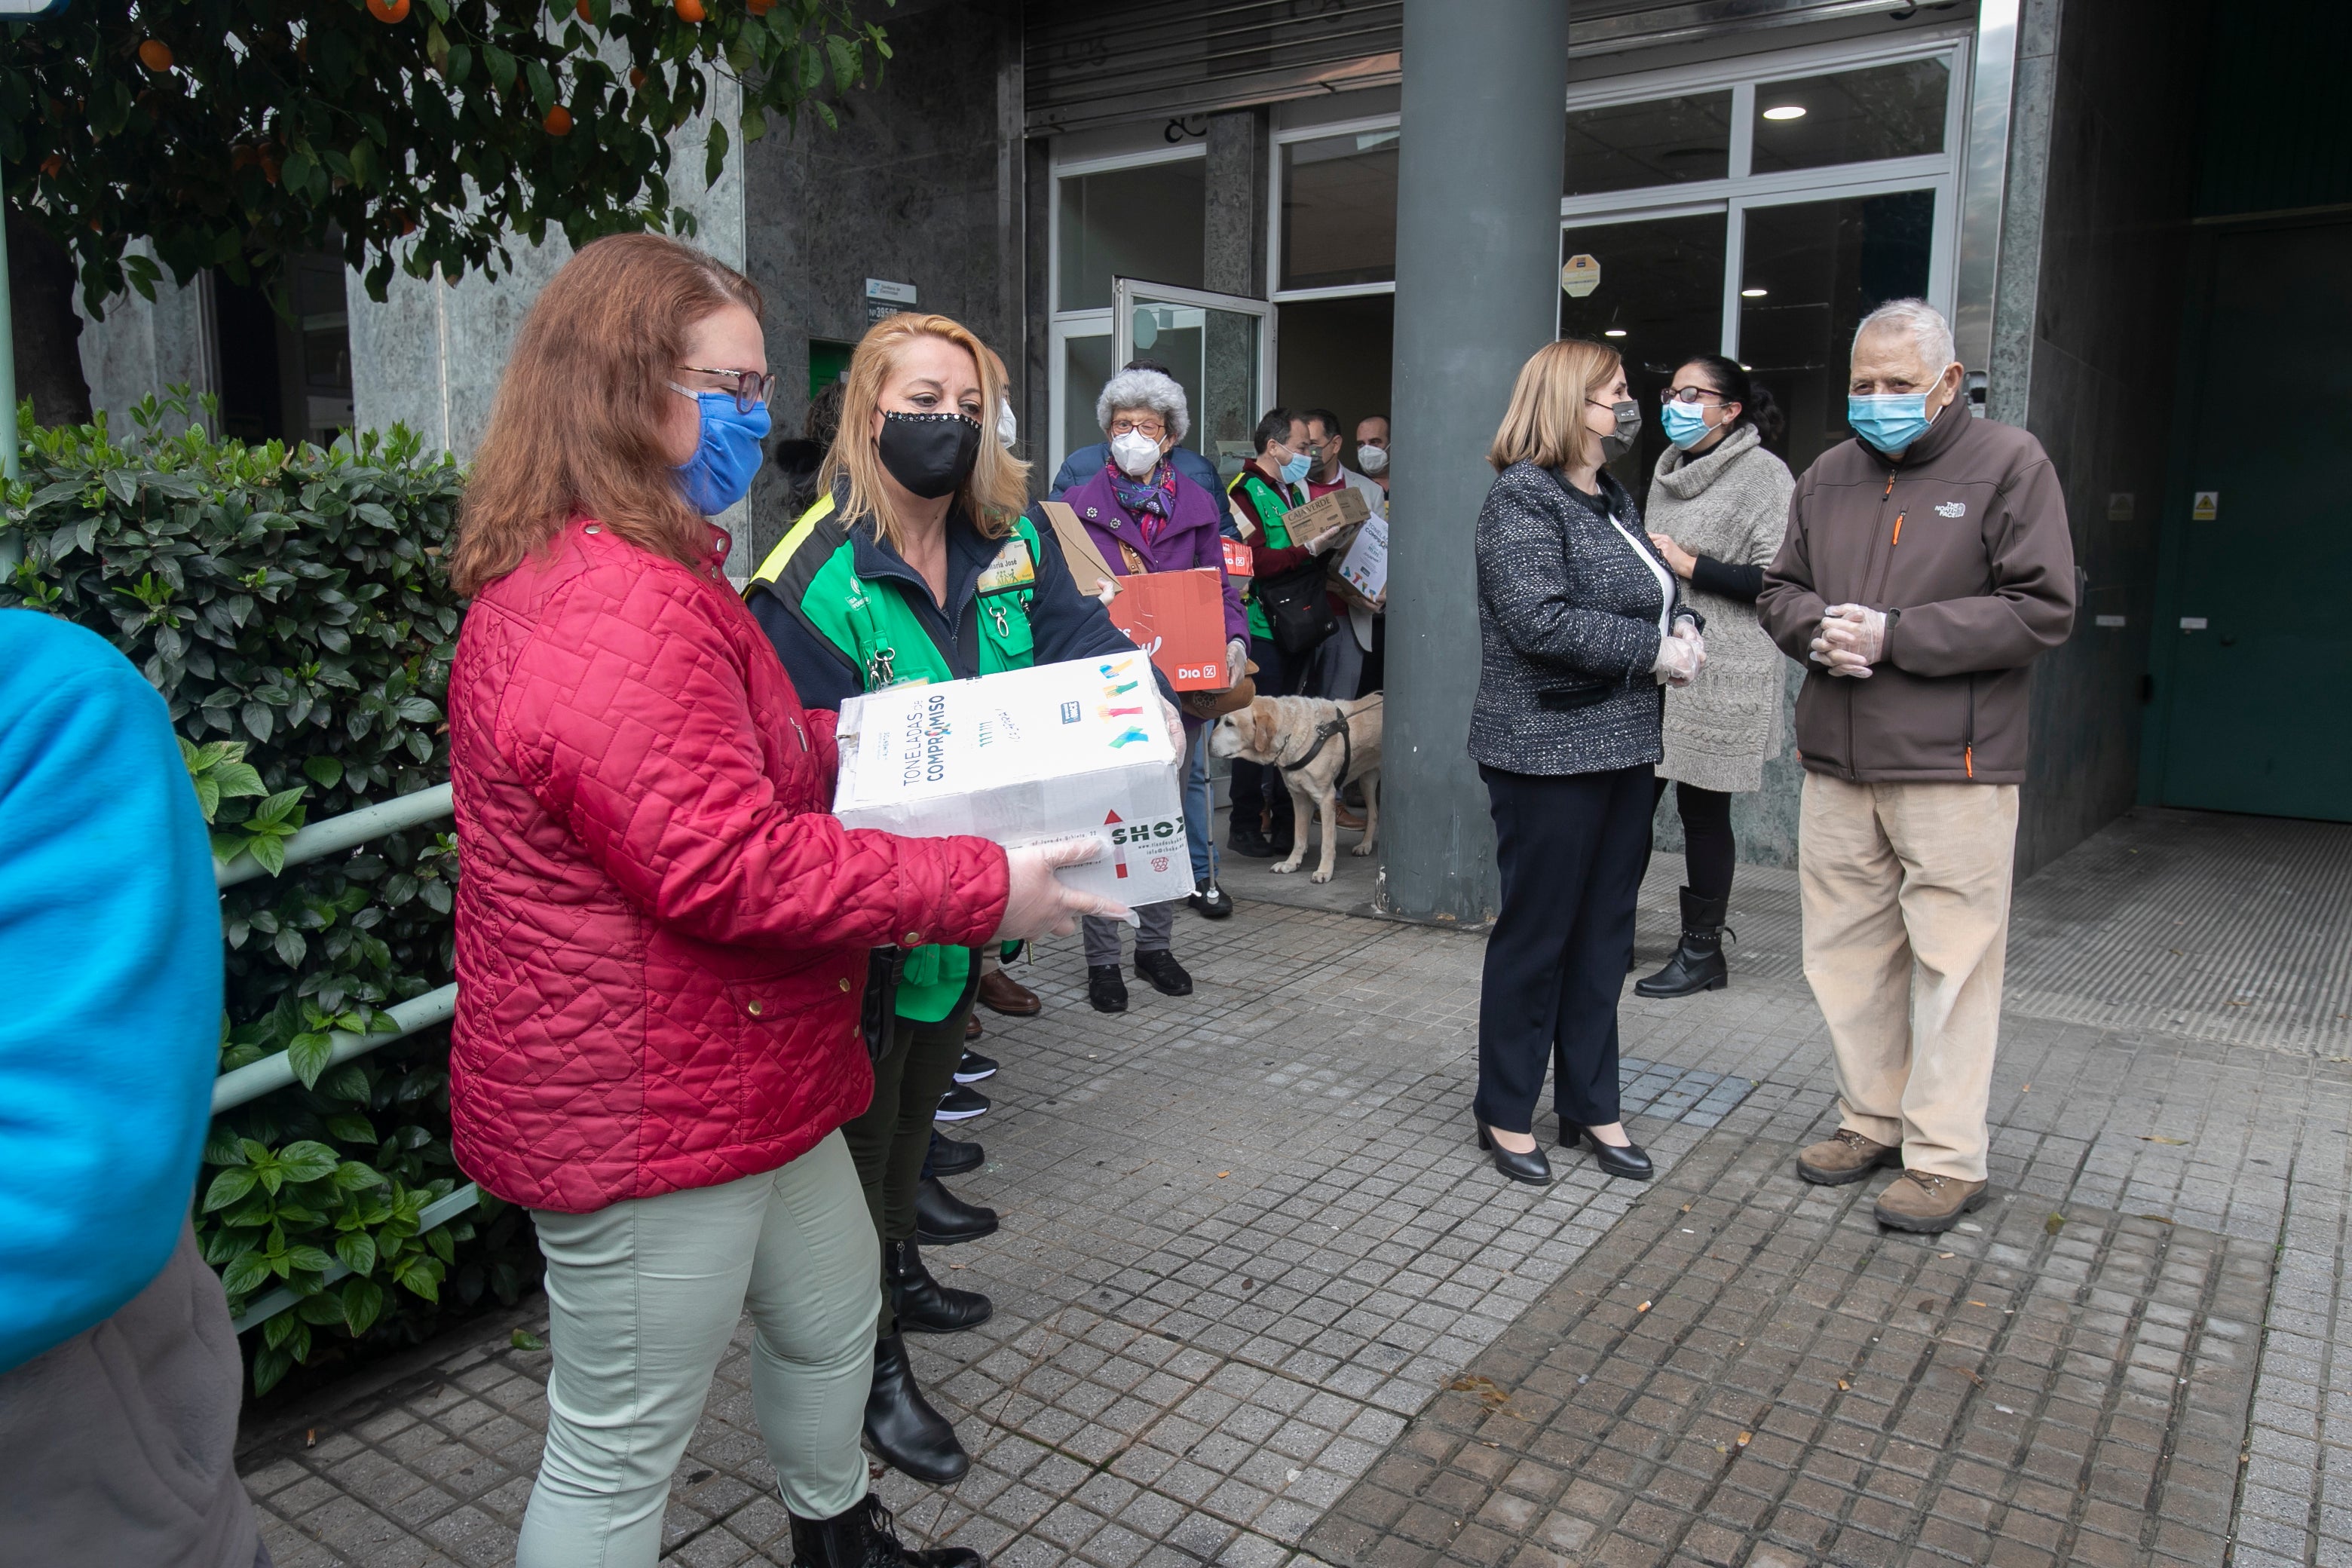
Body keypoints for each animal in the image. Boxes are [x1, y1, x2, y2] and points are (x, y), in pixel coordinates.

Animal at [1213, 696, 1374, 884]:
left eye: (1229, 723)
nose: (1207, 744)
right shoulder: (1299, 797)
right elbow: (1299, 836)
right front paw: (1291, 863)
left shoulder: (1326, 797)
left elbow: (1327, 842)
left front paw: (1325, 870)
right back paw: (1365, 845)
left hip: (1367, 783)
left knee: (1374, 815)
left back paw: (1365, 845)